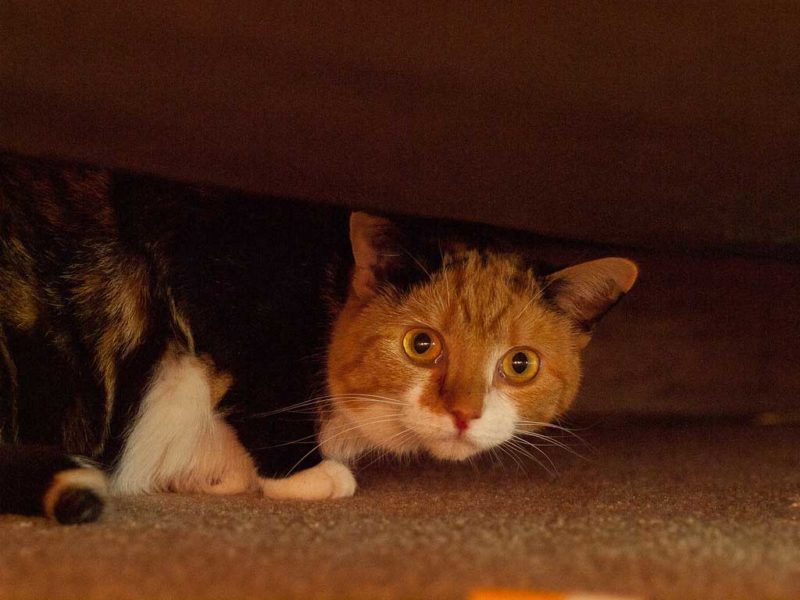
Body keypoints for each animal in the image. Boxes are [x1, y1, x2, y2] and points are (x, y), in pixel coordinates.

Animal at [0, 152, 636, 524]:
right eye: (421, 344)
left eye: (520, 364)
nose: (463, 414)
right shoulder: (213, 259)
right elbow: (263, 380)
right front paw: (303, 474)